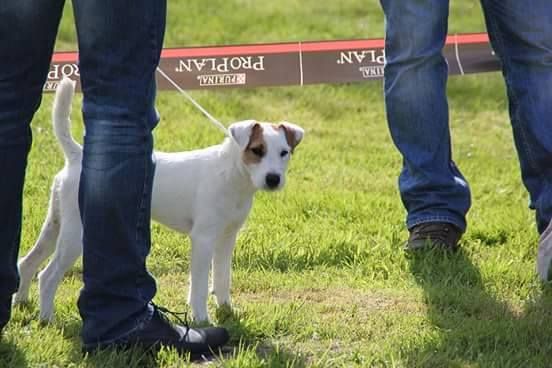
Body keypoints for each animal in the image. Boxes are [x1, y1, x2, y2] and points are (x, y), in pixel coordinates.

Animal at [14, 78, 306, 322]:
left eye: (284, 152)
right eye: (257, 150)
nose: (273, 179)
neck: (232, 174)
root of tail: (77, 155)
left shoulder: (226, 238)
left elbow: (223, 277)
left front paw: (227, 309)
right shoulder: (203, 239)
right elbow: (199, 285)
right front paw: (202, 320)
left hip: (55, 224)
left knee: (27, 262)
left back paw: (21, 301)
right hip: (75, 235)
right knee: (47, 276)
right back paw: (48, 319)